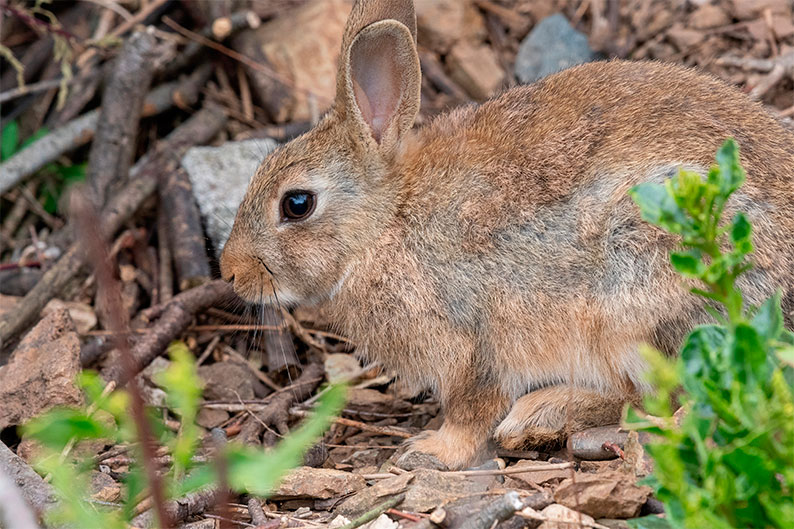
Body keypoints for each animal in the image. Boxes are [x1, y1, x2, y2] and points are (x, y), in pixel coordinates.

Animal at [220, 0, 794, 469]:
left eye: (296, 204)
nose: (230, 272)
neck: (385, 224)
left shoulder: (472, 343)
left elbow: (472, 409)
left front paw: (431, 451)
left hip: (645, 298)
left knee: (672, 399)